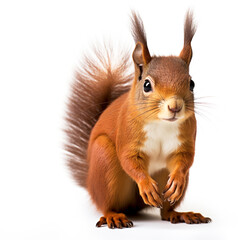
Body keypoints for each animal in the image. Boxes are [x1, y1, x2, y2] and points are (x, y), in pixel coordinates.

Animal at [64, 10, 211, 229]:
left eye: (192, 83)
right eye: (147, 85)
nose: (175, 107)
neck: (161, 123)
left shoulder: (187, 135)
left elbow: (186, 159)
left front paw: (177, 179)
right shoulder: (126, 130)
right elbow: (128, 158)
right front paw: (145, 184)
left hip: (163, 179)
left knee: (165, 211)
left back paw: (181, 214)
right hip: (104, 159)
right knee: (106, 203)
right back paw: (113, 216)